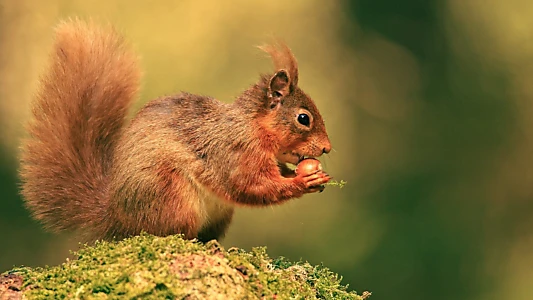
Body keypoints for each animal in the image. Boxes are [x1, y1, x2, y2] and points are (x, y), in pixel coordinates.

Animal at [20, 19, 332, 243]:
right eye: (303, 118)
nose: (327, 148)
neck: (251, 126)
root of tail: (116, 216)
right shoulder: (234, 152)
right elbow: (250, 186)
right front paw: (302, 181)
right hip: (171, 197)